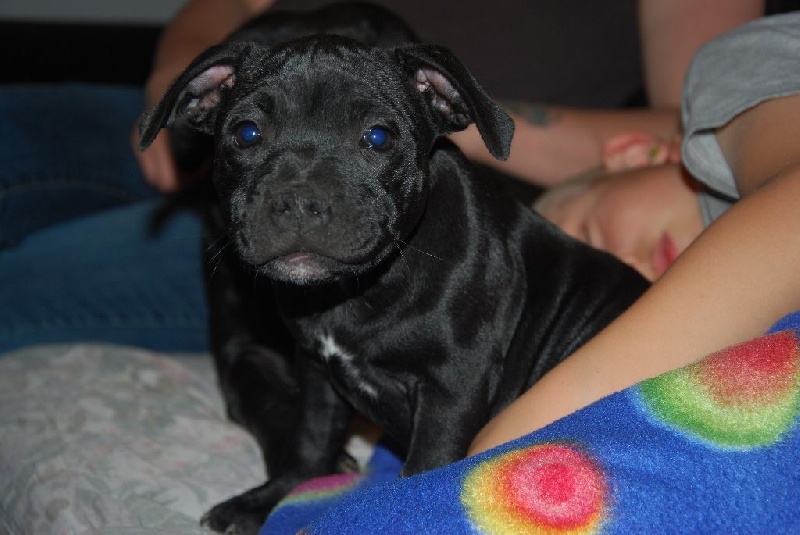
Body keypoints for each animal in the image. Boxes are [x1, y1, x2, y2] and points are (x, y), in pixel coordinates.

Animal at [139, 3, 649, 533]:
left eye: (378, 137)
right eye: (246, 134)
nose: (299, 200)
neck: (359, 292)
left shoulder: (450, 389)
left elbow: (426, 465)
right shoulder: (317, 373)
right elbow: (308, 444)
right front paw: (275, 498)